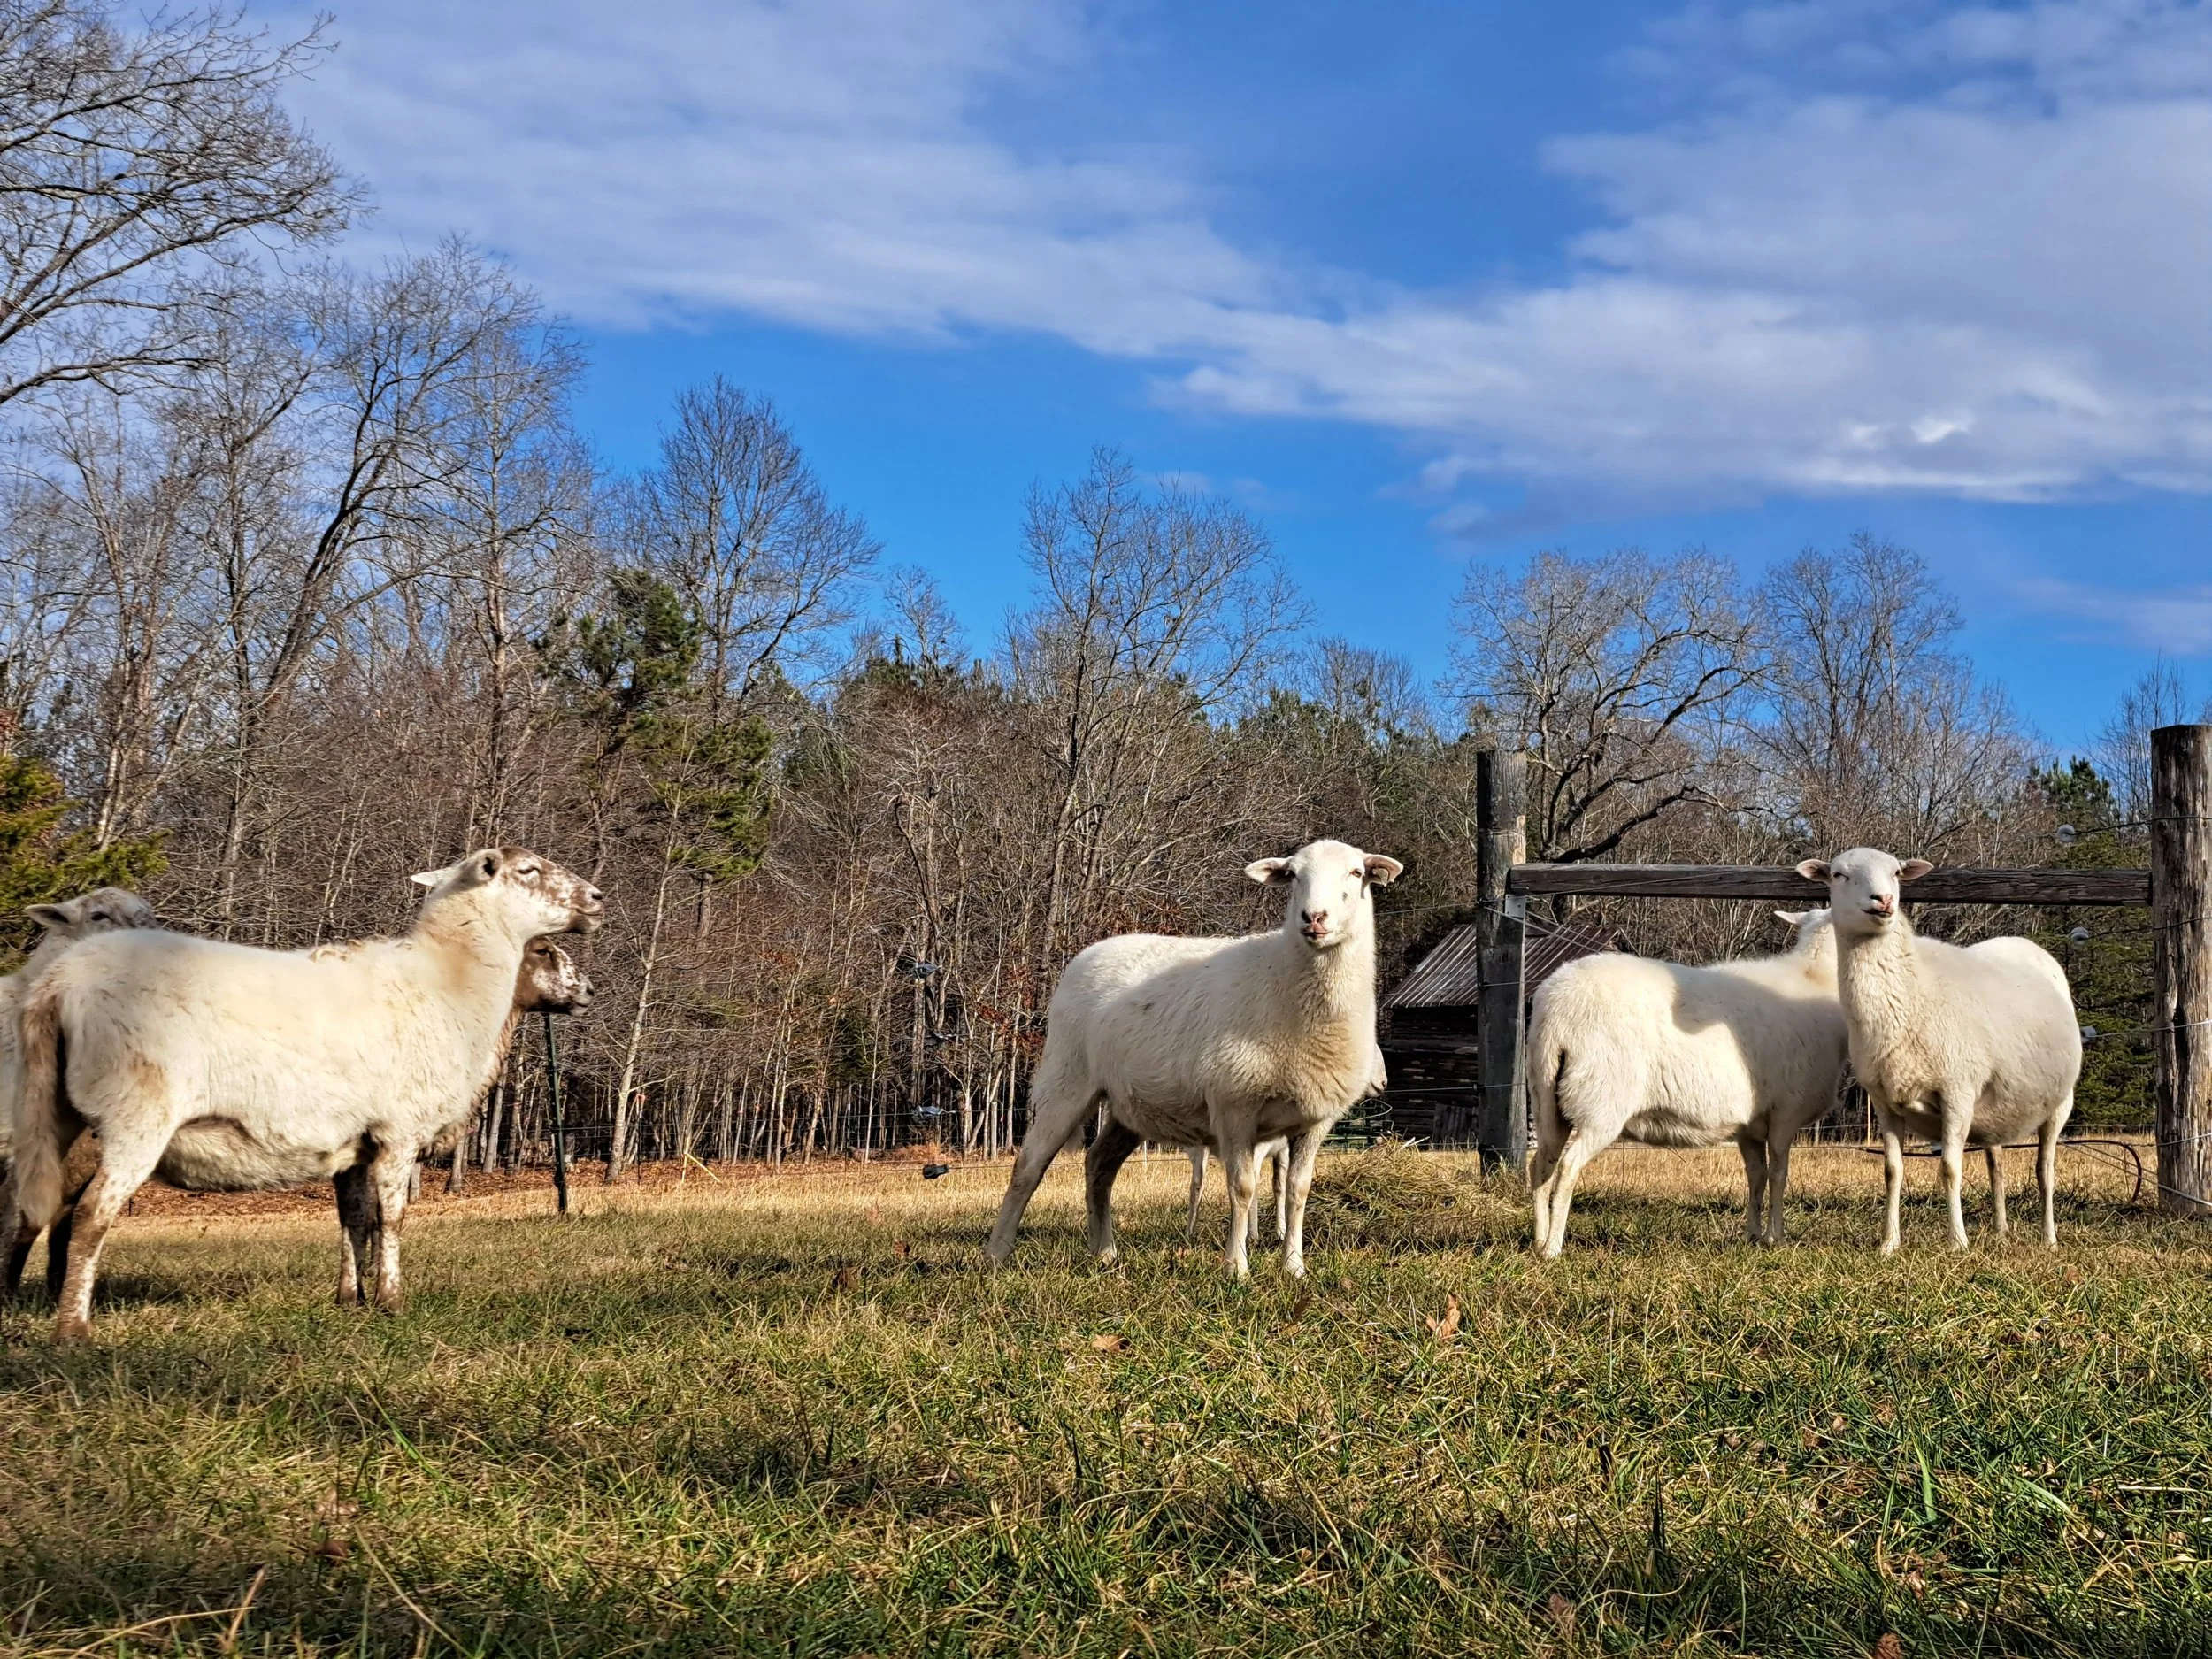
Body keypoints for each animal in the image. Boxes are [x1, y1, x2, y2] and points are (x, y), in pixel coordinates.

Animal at [330, 935, 592, 1305]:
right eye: (543, 950)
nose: (589, 989)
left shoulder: (359, 1149)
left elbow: (356, 1215)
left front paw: (352, 1295)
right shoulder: (393, 1139)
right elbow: (385, 1215)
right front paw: (387, 1297)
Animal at [986, 837, 1402, 1279]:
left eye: (1356, 873)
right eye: (1292, 875)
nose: (1314, 917)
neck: (1286, 983)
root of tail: (1090, 953)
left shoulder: (1315, 1119)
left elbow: (1297, 1191)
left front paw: (1294, 1267)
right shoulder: (1234, 1106)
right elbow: (1242, 1188)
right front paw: (1236, 1268)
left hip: (1128, 1106)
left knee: (1099, 1164)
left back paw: (1105, 1252)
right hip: (1067, 1080)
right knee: (1028, 1168)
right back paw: (998, 1253)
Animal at [1527, 908, 1849, 1257]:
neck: (1815, 978)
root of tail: (1556, 1011)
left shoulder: (1750, 1125)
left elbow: (1757, 1176)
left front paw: (1752, 1235)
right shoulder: (1785, 1113)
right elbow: (1779, 1175)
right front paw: (1775, 1237)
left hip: (1546, 1098)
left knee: (1540, 1166)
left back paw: (1538, 1240)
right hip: (1601, 1102)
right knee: (1568, 1168)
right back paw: (1553, 1247)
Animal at [1797, 848, 2081, 1252]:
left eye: (1897, 872)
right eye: (1838, 874)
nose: (1884, 900)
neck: (1910, 989)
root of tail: (2023, 942)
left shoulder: (1956, 1091)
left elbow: (1949, 1168)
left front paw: (1958, 1242)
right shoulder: (1883, 1100)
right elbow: (1892, 1171)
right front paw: (1888, 1244)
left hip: (2060, 1100)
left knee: (2045, 1169)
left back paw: (2049, 1238)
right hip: (1995, 1107)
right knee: (1996, 1162)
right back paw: (2000, 1230)